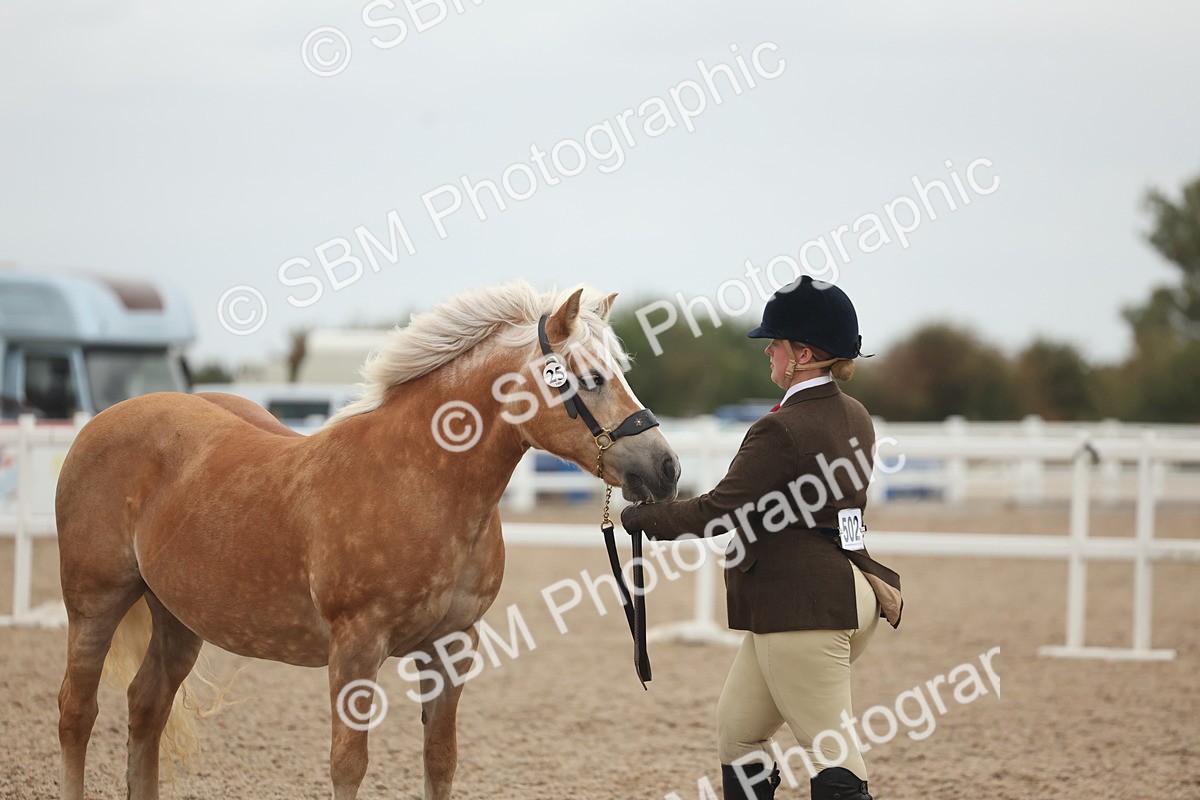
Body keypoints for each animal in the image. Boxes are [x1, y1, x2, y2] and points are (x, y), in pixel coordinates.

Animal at [54, 282, 680, 800]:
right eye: (591, 377)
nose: (666, 468)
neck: (420, 479)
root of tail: (101, 423)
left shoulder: (454, 645)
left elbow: (440, 761)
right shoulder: (356, 646)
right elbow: (348, 764)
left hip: (178, 616)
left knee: (146, 708)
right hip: (95, 603)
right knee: (76, 713)